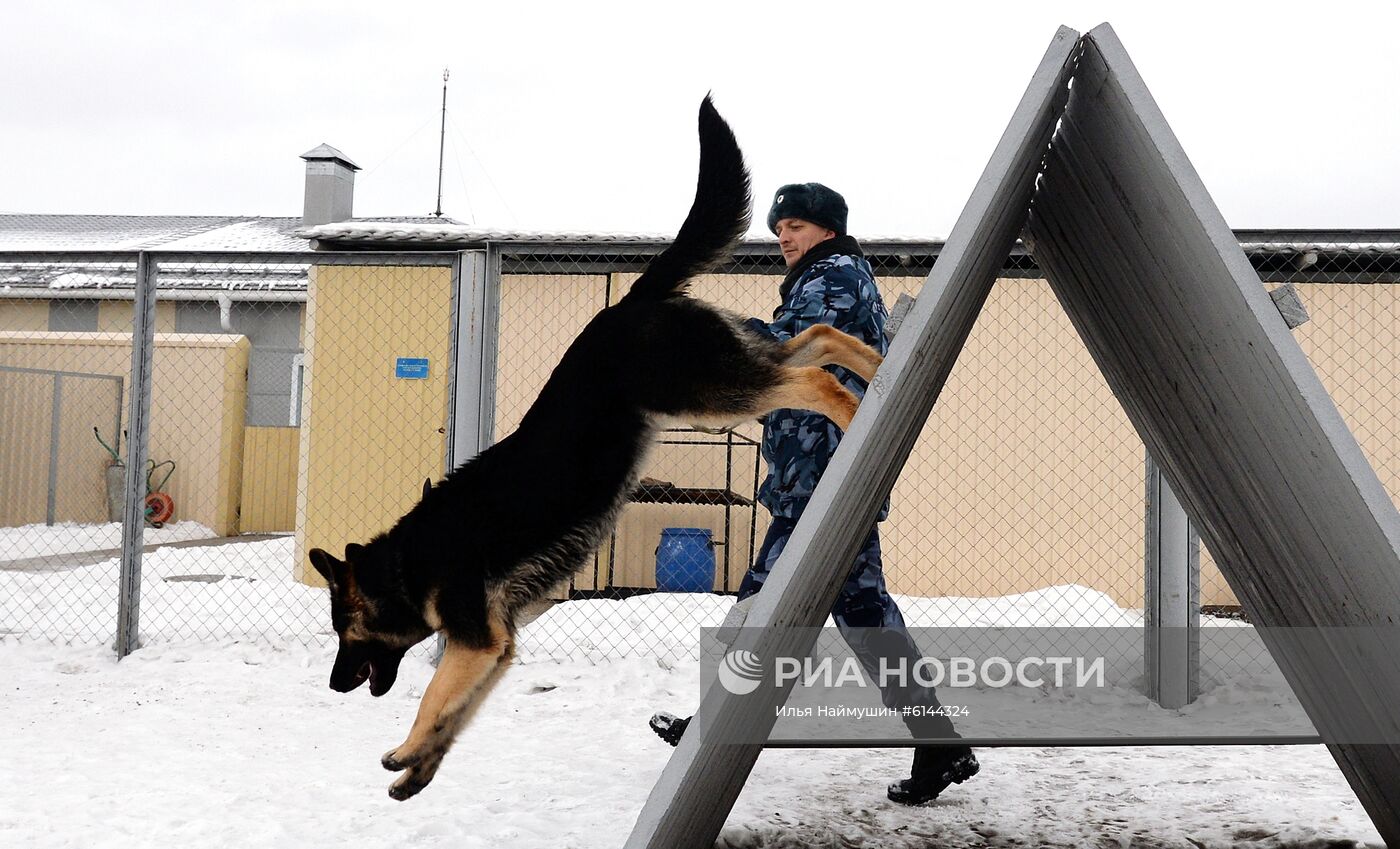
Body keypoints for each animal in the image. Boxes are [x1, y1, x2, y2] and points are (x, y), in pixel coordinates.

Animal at [310, 96, 879, 801]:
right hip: (725, 375)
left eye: (344, 631)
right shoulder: (496, 646)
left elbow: (433, 699)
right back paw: (878, 364)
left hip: (706, 393)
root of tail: (632, 298)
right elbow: (456, 713)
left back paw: (856, 406)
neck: (411, 561)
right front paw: (419, 768)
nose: (333, 684)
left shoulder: (475, 639)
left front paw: (409, 747)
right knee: (822, 334)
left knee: (815, 377)